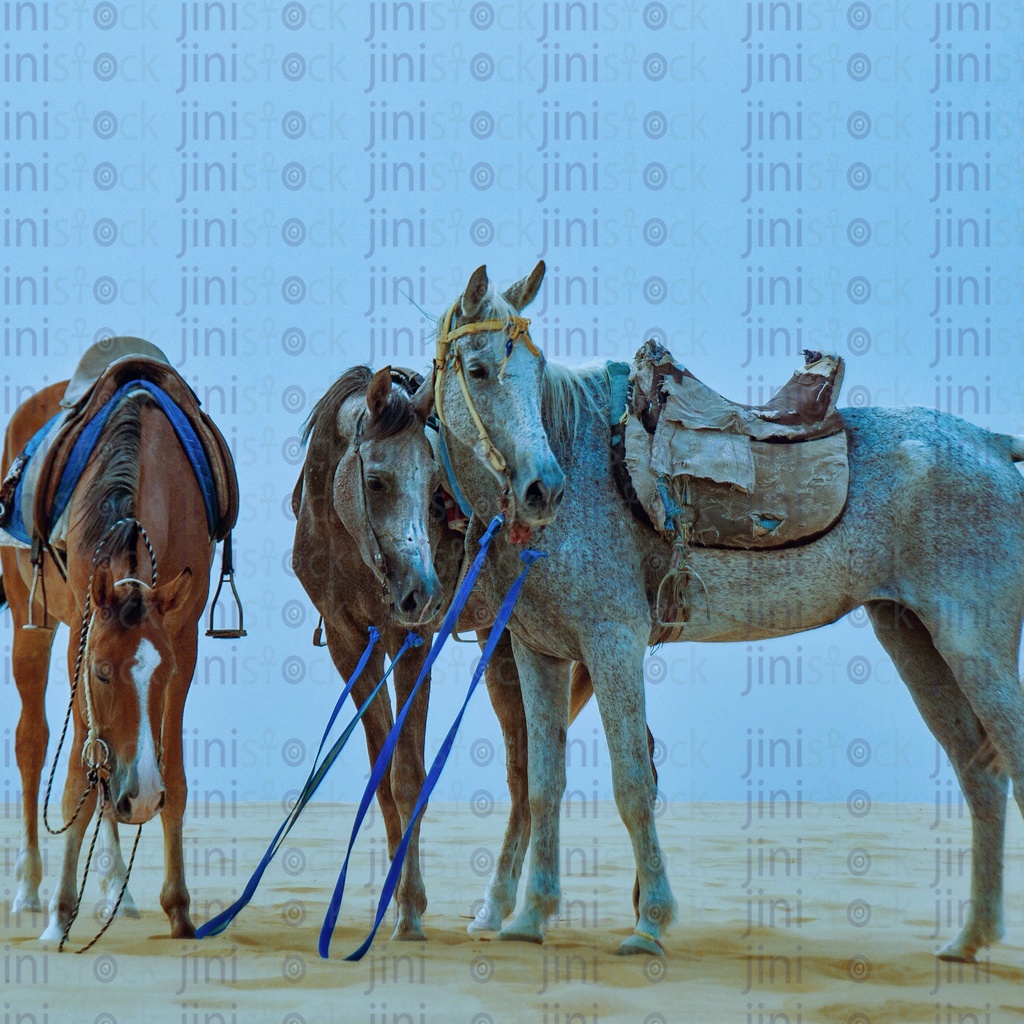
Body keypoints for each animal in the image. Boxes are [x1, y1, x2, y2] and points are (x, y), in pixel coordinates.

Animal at [2, 378, 220, 942]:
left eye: (164, 673)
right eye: (101, 671)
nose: (138, 800)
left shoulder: (183, 639)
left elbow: (172, 776)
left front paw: (179, 907)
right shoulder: (82, 636)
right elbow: (78, 778)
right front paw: (59, 913)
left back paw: (115, 888)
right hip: (30, 620)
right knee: (33, 744)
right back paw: (29, 887)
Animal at [432, 262, 1024, 958]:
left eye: (532, 365)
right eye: (478, 370)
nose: (541, 488)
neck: (582, 463)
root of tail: (993, 445)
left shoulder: (613, 642)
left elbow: (632, 782)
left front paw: (649, 924)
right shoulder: (540, 654)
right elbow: (545, 784)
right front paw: (529, 919)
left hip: (975, 646)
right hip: (916, 643)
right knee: (980, 773)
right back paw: (970, 937)